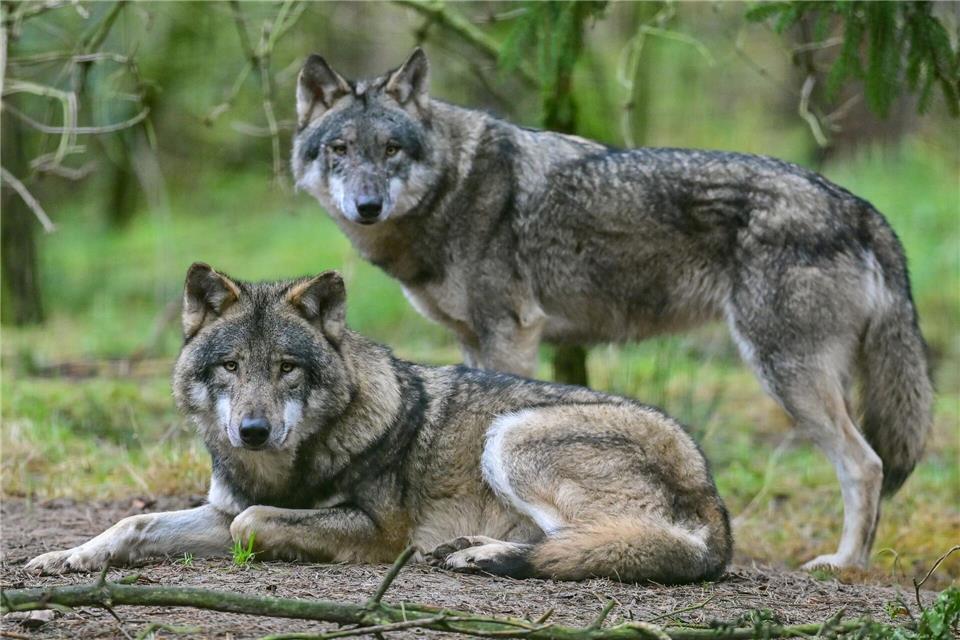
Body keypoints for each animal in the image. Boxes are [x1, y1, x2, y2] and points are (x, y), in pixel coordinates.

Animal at [26, 263, 732, 584]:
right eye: (230, 365)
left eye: (287, 368)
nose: (252, 431)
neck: (285, 468)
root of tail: (711, 491)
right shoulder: (222, 508)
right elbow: (136, 523)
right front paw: (66, 556)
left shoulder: (378, 532)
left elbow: (254, 524)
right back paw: (474, 549)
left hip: (513, 436)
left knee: (614, 542)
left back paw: (485, 554)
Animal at [289, 48, 933, 570]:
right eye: (340, 150)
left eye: (391, 149)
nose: (367, 205)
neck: (455, 185)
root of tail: (858, 206)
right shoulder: (475, 340)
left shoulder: (510, 334)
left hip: (784, 373)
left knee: (866, 465)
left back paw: (846, 564)